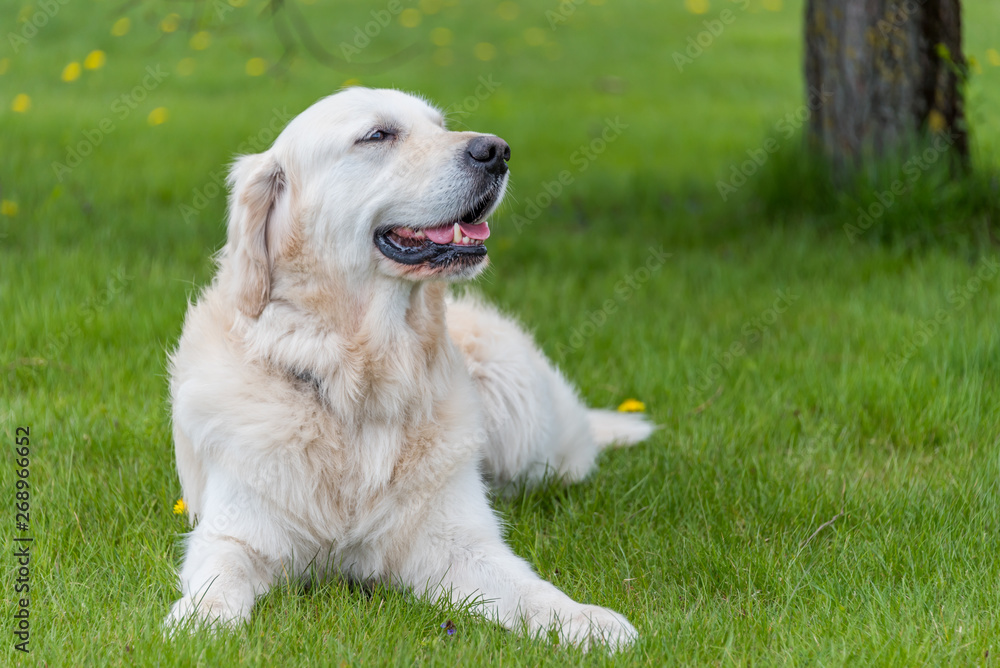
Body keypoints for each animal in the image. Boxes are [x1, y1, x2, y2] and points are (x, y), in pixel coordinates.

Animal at [168, 86, 652, 648]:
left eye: (440, 125)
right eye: (378, 135)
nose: (497, 151)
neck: (360, 383)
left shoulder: (456, 542)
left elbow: (529, 589)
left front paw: (584, 620)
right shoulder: (235, 532)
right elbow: (219, 576)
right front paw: (199, 619)